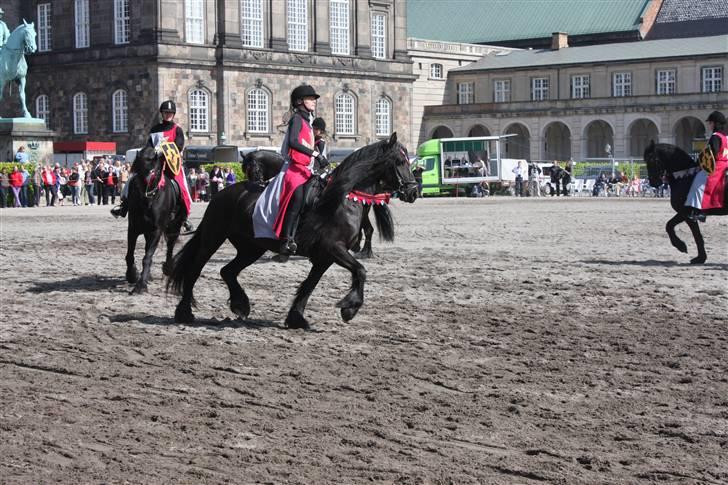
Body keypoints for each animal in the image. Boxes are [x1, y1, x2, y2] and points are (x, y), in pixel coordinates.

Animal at [124, 147, 185, 292]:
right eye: (137, 169)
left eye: (155, 171)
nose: (145, 194)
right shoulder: (133, 229)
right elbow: (130, 254)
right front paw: (132, 275)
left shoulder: (156, 231)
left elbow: (147, 257)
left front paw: (141, 285)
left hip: (174, 227)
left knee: (170, 246)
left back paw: (167, 268)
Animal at [166, 134, 416, 328]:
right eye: (399, 161)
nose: (413, 191)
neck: (342, 198)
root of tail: (221, 194)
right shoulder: (333, 248)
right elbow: (360, 271)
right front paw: (349, 307)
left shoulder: (324, 256)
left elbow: (309, 285)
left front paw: (296, 318)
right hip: (213, 238)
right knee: (194, 270)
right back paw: (184, 312)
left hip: (250, 248)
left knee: (228, 271)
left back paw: (240, 305)